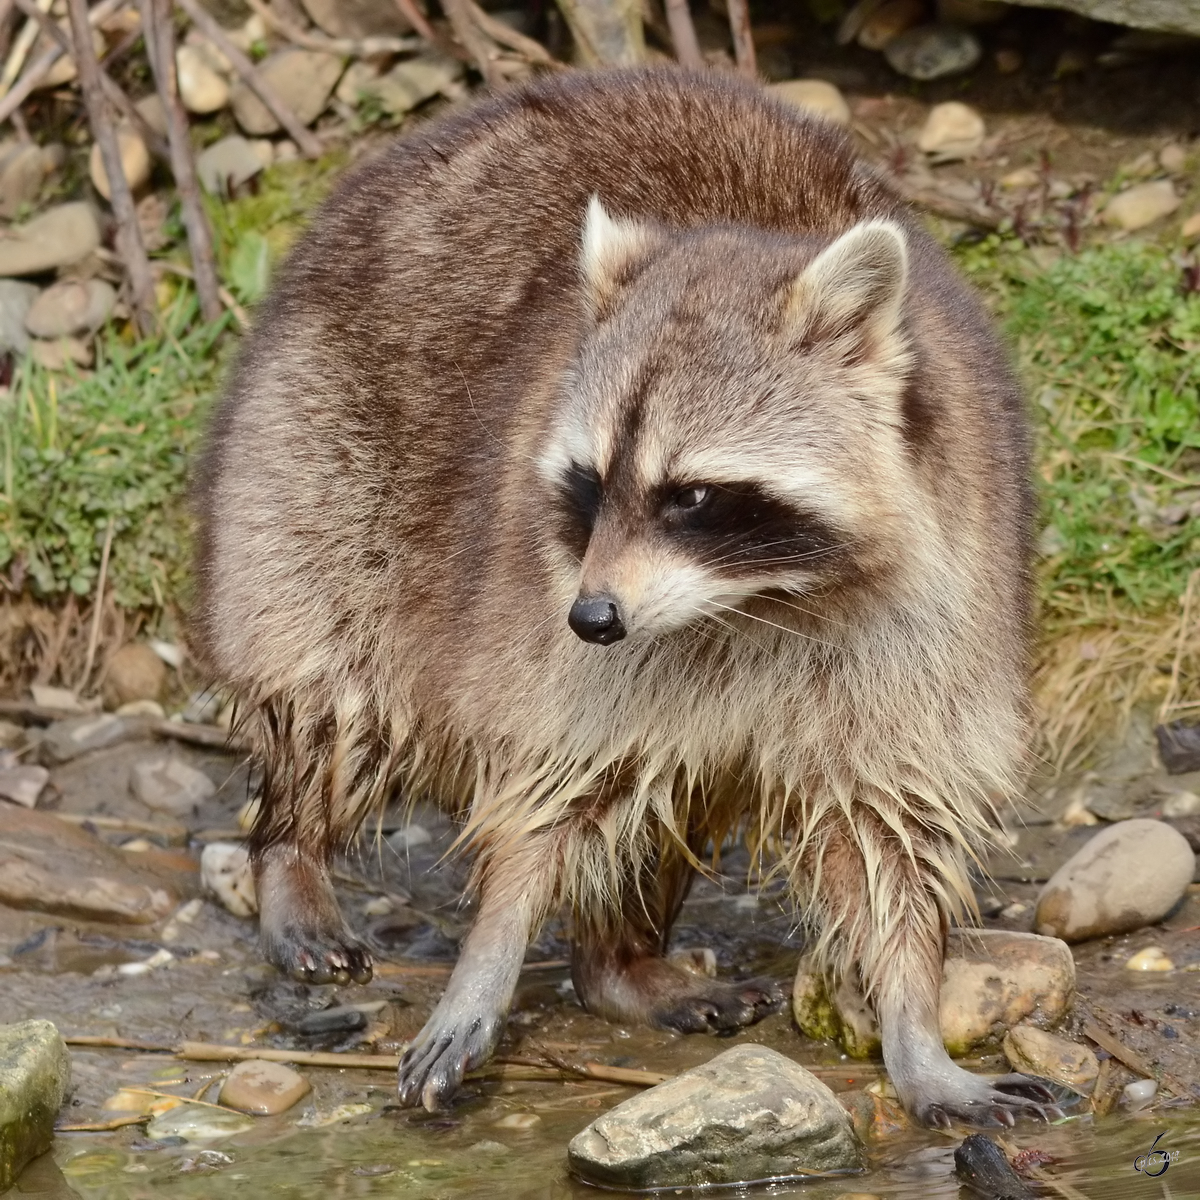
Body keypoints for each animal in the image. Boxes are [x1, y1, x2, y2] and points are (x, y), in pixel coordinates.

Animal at [194, 70, 1060, 1128]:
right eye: (591, 482)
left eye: (691, 496)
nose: (594, 618)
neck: (753, 599)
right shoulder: (543, 621)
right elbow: (550, 786)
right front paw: (490, 953)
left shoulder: (932, 615)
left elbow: (889, 827)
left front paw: (914, 1024)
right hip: (307, 461)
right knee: (332, 684)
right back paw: (293, 850)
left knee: (666, 792)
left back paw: (617, 962)